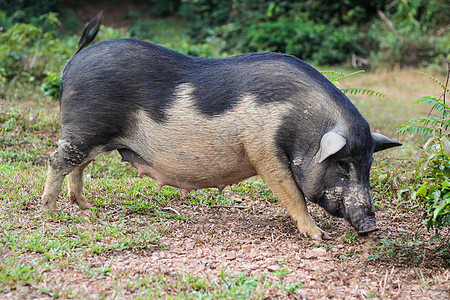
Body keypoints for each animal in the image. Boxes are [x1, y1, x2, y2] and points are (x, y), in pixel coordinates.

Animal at [41, 13, 400, 239]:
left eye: (368, 165)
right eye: (341, 165)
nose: (371, 226)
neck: (301, 121)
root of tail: (73, 62)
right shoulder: (262, 148)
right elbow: (290, 191)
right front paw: (320, 236)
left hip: (92, 135)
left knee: (78, 164)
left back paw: (85, 207)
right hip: (84, 128)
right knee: (57, 161)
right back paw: (51, 212)